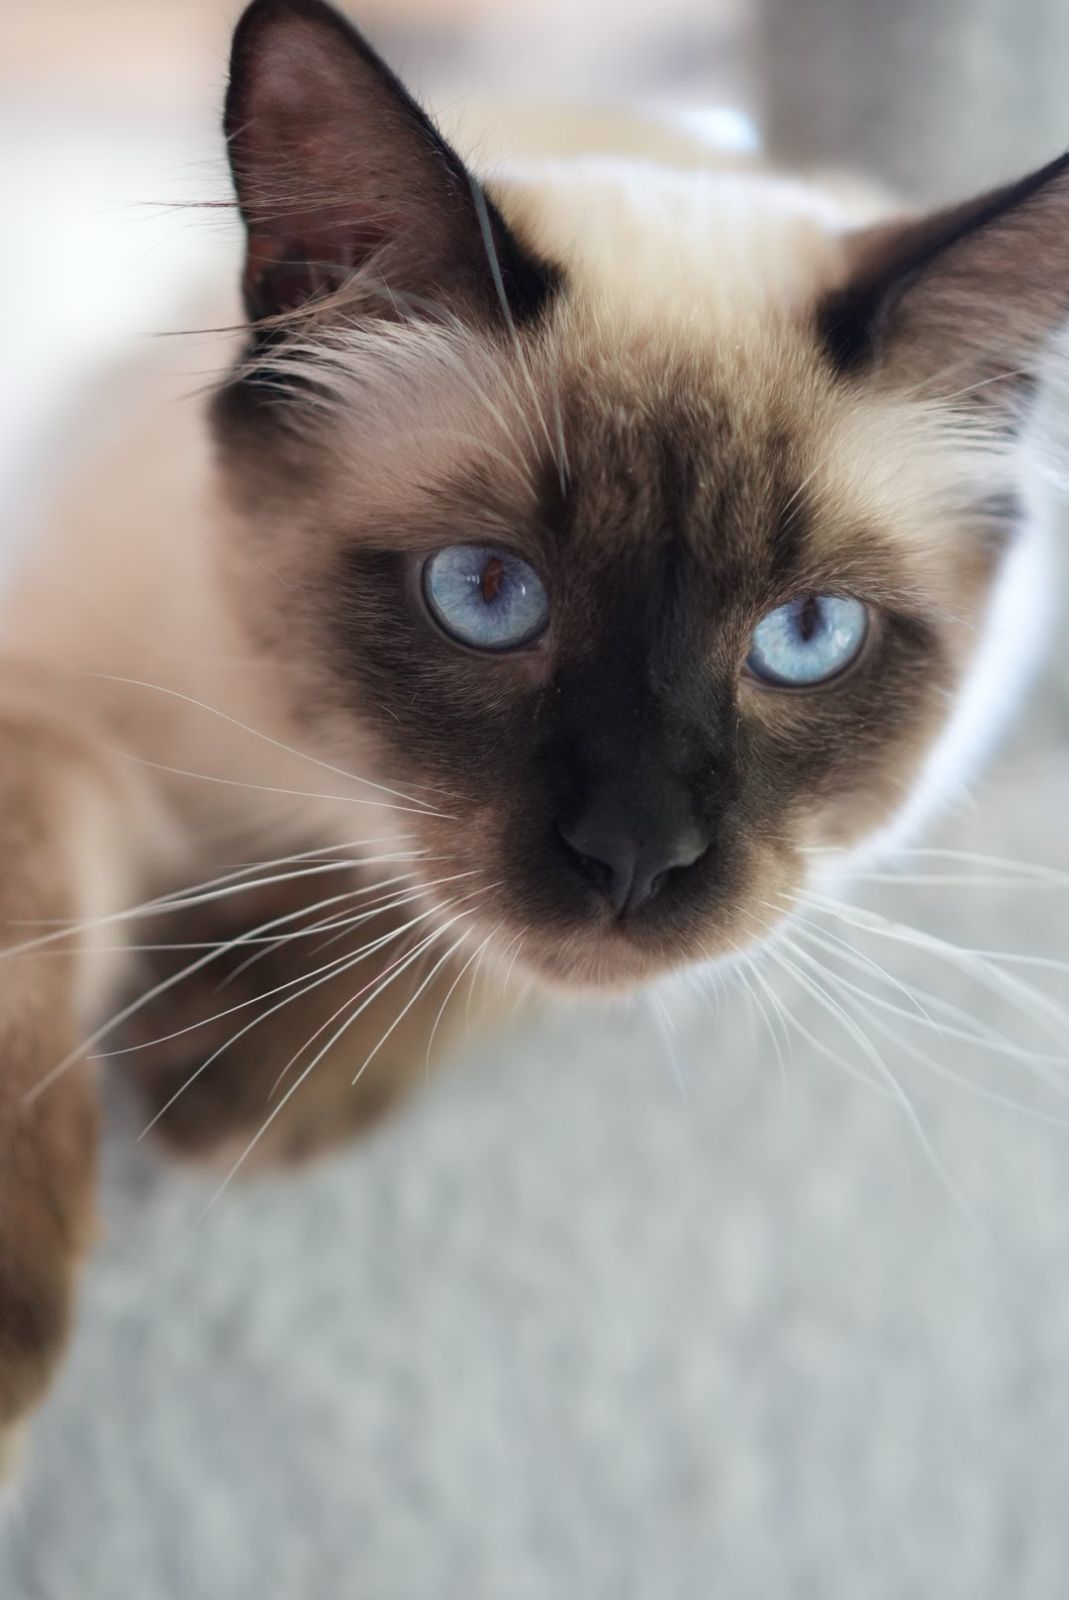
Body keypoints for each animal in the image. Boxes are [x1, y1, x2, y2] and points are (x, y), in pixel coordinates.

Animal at [0, 0, 1062, 1465]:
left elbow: (480, 953)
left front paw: (233, 1071)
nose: (634, 856)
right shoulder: (51, 691)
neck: (300, 803)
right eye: (487, 597)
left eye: (805, 636)